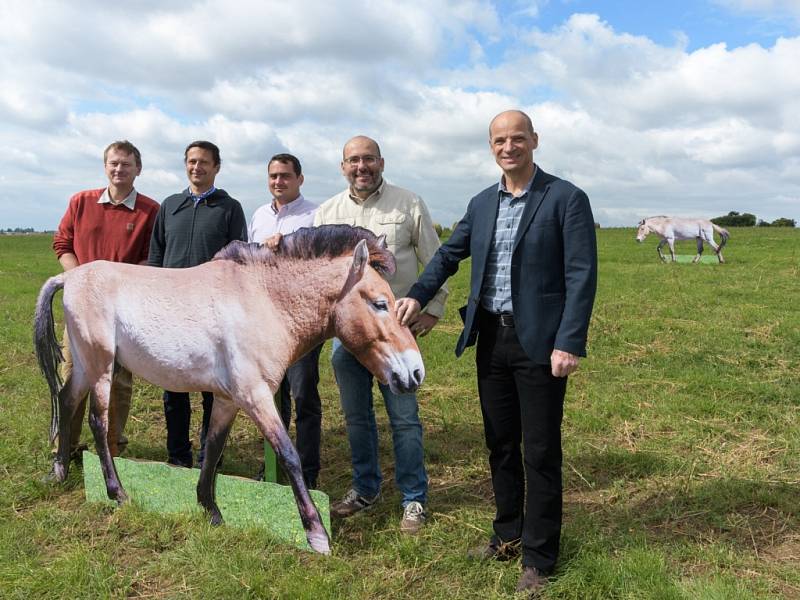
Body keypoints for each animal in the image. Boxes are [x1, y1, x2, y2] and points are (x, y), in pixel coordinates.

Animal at [36, 225, 424, 552]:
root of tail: (69, 277)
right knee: (98, 423)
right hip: (101, 368)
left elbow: (213, 447)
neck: (264, 300)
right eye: (379, 303)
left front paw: (210, 511)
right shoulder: (255, 396)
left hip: (84, 366)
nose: (415, 372)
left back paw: (60, 471)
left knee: (66, 400)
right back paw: (117, 493)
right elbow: (289, 455)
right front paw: (316, 535)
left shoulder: (227, 399)